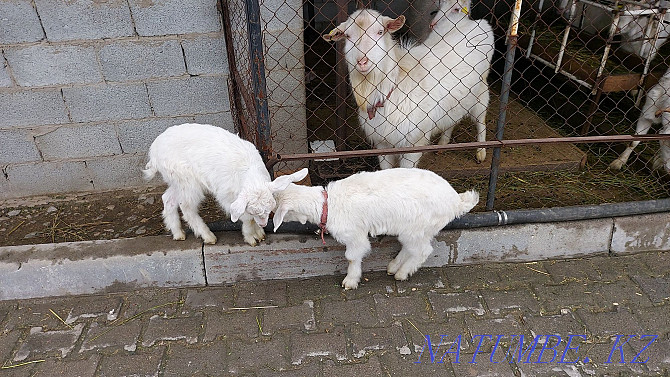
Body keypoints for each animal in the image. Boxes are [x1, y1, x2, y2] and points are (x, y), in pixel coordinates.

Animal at [322, 5, 496, 167]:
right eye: (348, 36)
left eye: (380, 32)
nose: (362, 62)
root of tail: (476, 22)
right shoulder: (382, 143)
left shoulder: (413, 143)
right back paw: (443, 143)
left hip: (481, 91)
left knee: (481, 120)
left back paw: (481, 151)